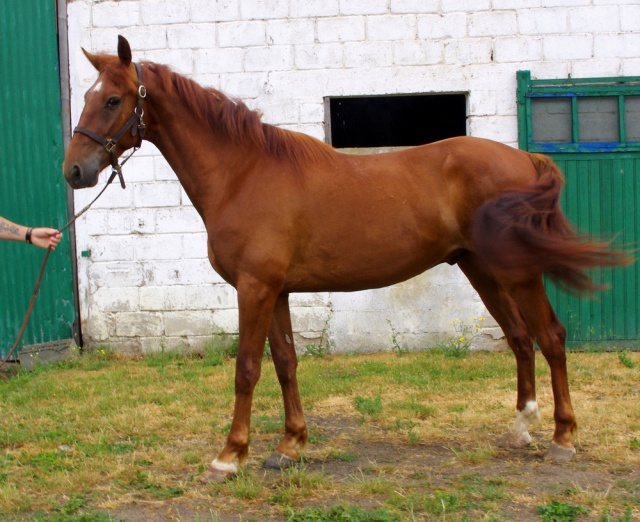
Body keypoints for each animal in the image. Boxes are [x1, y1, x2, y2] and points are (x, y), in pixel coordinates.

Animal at [61, 35, 632, 476]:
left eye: (113, 100)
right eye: (88, 96)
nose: (74, 171)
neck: (243, 173)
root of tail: (524, 158)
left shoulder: (255, 287)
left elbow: (247, 367)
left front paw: (229, 456)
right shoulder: (277, 291)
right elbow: (286, 362)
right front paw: (290, 446)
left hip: (519, 272)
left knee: (551, 337)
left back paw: (563, 438)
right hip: (482, 269)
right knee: (518, 339)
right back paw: (521, 428)